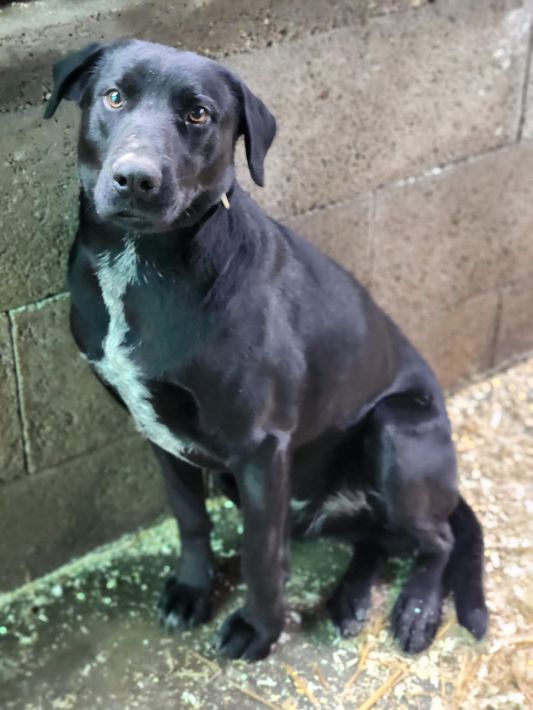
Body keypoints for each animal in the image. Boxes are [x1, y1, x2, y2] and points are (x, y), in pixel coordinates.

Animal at [44, 39, 488, 661]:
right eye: (114, 96)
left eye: (198, 114)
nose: (135, 179)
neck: (142, 260)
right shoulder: (158, 432)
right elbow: (190, 520)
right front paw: (192, 590)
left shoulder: (259, 448)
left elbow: (260, 552)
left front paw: (258, 628)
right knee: (378, 539)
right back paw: (350, 599)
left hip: (396, 434)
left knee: (436, 539)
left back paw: (417, 609)